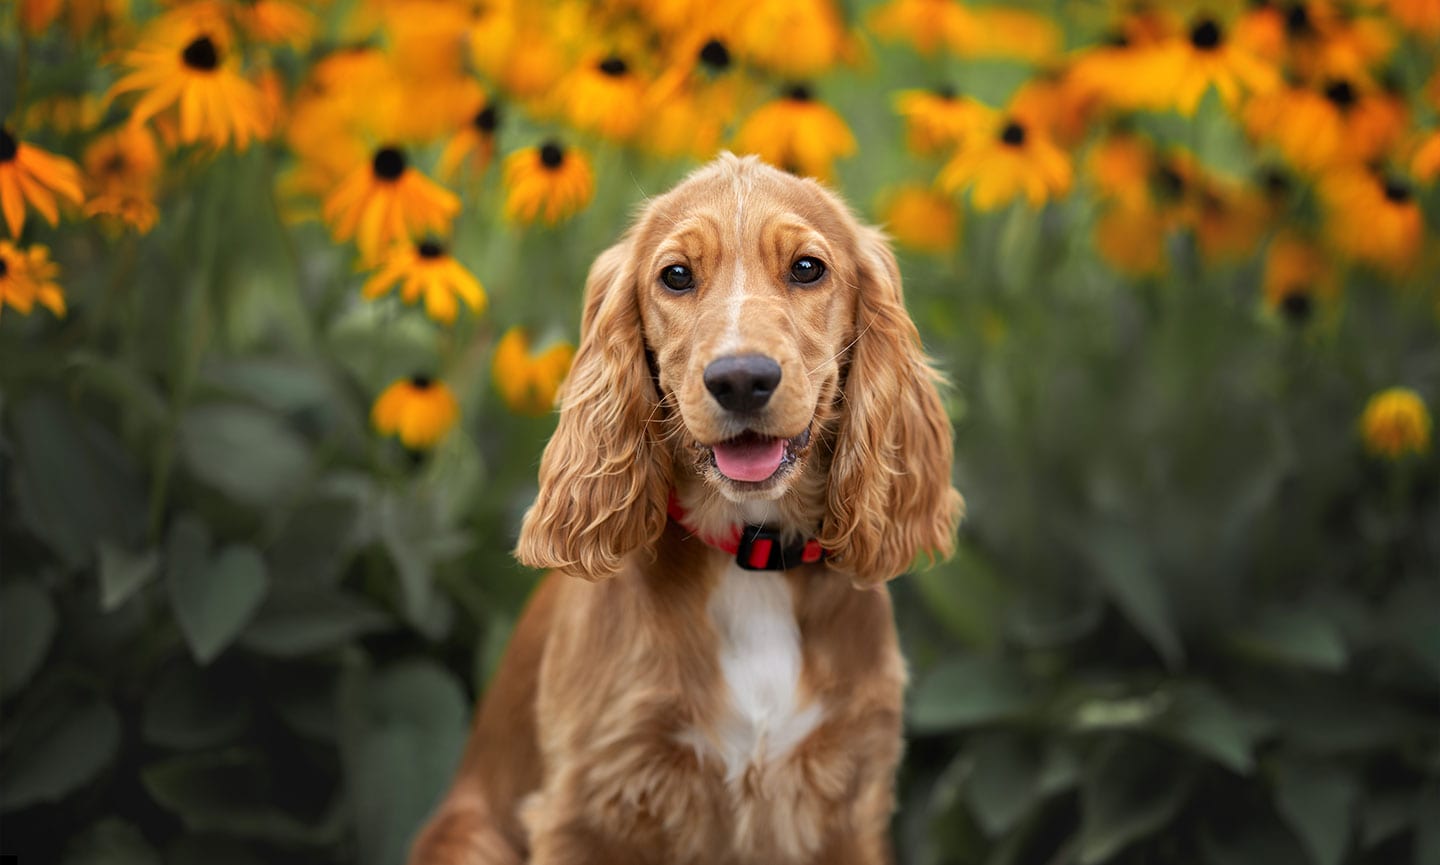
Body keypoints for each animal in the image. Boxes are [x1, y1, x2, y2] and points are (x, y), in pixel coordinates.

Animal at [406, 153, 961, 863]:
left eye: (808, 267)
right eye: (676, 275)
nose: (742, 379)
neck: (750, 557)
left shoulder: (850, 801)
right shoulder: (587, 806)